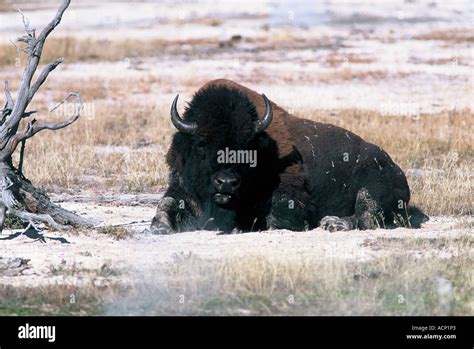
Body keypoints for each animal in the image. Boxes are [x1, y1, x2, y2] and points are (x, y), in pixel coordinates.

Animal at [150, 77, 428, 232]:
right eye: (201, 144)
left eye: (248, 146)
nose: (226, 183)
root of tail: (398, 172)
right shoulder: (181, 189)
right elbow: (165, 205)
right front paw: (159, 228)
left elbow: (279, 216)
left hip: (371, 188)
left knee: (367, 215)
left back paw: (333, 223)